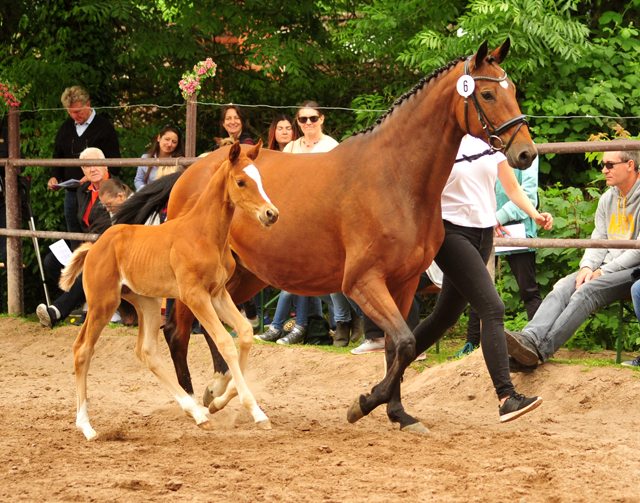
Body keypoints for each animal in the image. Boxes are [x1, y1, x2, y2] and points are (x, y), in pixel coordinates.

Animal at [60, 142, 278, 440]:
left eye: (261, 179)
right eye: (241, 181)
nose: (271, 214)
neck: (205, 234)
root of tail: (94, 247)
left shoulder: (218, 294)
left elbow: (244, 332)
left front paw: (221, 401)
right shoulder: (195, 295)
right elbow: (224, 342)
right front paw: (254, 411)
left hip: (148, 303)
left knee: (147, 351)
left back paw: (198, 413)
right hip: (102, 303)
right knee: (82, 350)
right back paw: (86, 426)